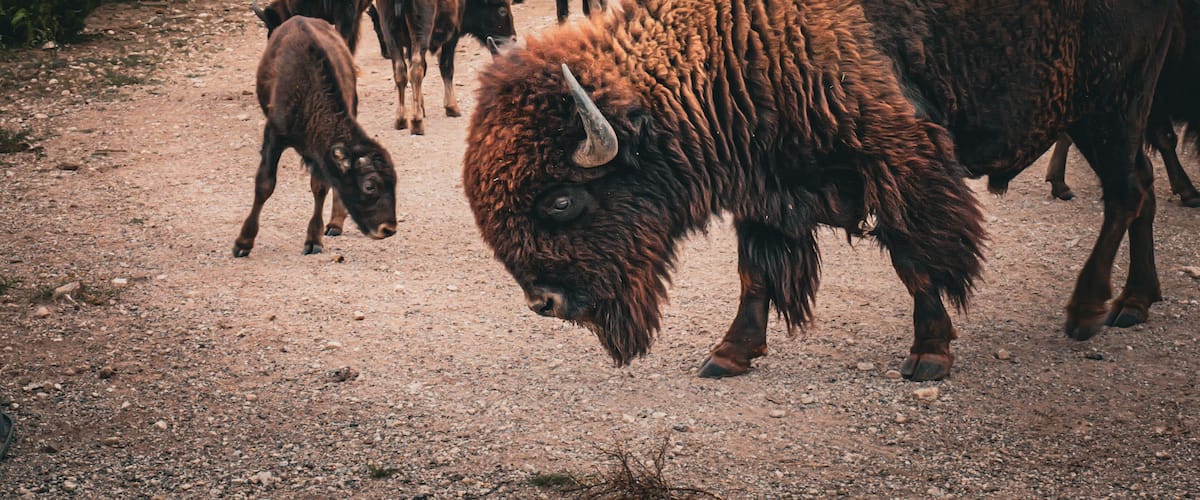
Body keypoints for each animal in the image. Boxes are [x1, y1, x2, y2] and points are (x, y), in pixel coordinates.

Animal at [234, 16, 398, 258]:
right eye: (370, 186)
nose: (388, 229)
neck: (308, 92)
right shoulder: (274, 136)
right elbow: (265, 184)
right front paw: (243, 243)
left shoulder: (319, 151)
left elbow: (320, 187)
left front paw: (313, 241)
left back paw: (335, 224)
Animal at [375, 0, 517, 135]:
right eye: (502, 10)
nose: (513, 38)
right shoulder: (452, 37)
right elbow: (446, 68)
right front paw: (452, 108)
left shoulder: (410, 46)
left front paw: (422, 107)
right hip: (420, 32)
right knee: (416, 69)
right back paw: (416, 123)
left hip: (390, 33)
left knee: (400, 70)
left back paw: (401, 119)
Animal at [463, 0, 1180, 381]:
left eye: (560, 199)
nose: (545, 303)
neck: (726, 46)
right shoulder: (765, 191)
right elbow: (755, 273)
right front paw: (729, 355)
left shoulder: (899, 161)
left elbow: (916, 261)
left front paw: (929, 355)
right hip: (1113, 116)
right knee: (1141, 193)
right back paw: (1134, 304)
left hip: (1108, 109)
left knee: (1125, 195)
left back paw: (1086, 312)